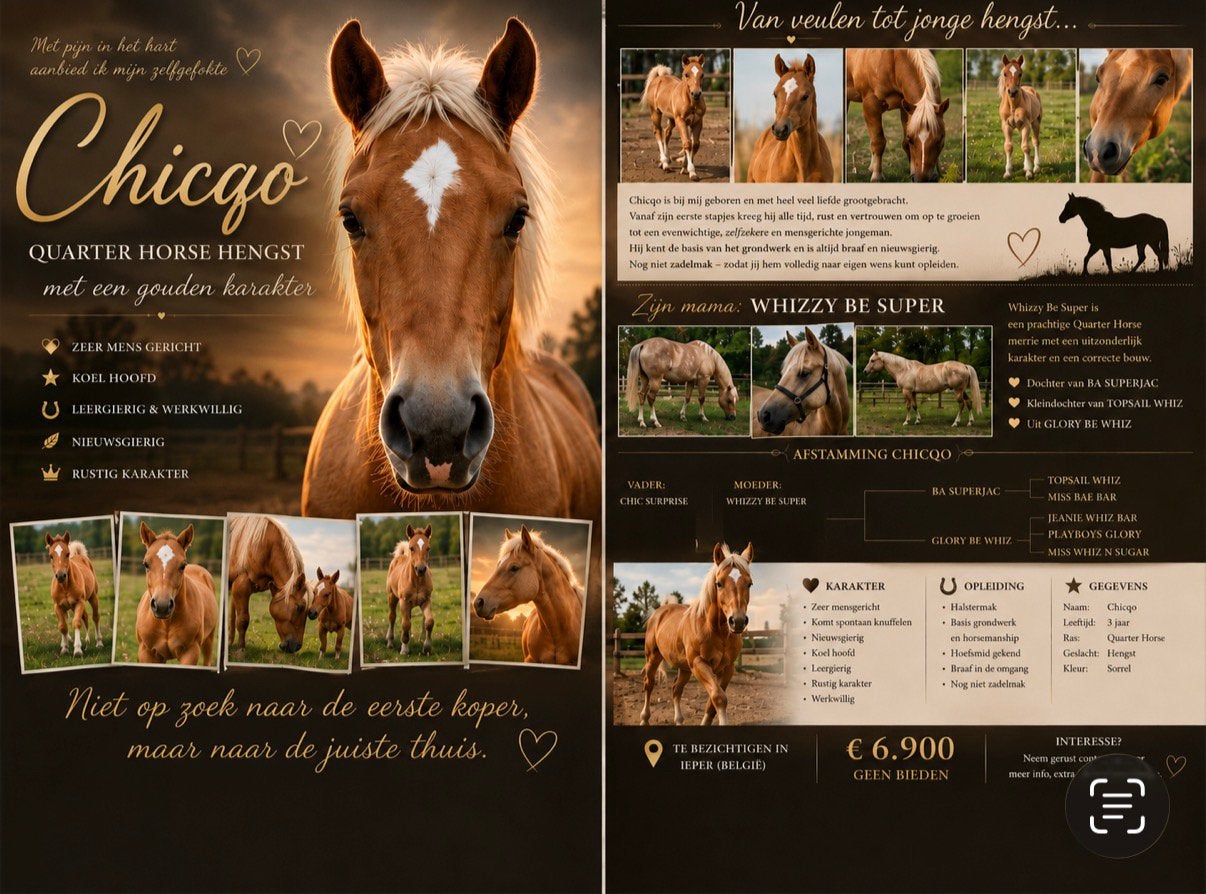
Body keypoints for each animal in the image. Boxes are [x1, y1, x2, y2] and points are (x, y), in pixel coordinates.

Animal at [134, 523, 218, 665]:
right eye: (146, 564)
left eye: (182, 565)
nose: (162, 606)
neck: (166, 623)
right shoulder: (147, 654)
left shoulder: (190, 653)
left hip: (209, 639)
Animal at [226, 515, 309, 657]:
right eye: (299, 607)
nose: (296, 646)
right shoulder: (241, 585)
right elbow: (242, 619)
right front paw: (241, 650)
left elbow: (232, 615)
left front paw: (230, 643)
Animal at [385, 525, 435, 656]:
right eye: (411, 548)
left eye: (428, 548)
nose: (421, 569)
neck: (417, 581)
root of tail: (400, 556)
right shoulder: (404, 602)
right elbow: (405, 624)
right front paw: (404, 649)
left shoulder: (426, 600)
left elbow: (429, 621)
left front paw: (427, 647)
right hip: (392, 597)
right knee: (392, 617)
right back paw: (390, 642)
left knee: (409, 618)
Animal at [640, 542, 752, 726]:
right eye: (719, 583)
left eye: (749, 584)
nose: (738, 621)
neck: (716, 631)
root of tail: (659, 612)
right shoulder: (699, 663)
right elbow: (719, 697)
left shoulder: (728, 668)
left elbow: (712, 703)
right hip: (653, 658)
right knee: (649, 684)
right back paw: (644, 719)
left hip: (685, 668)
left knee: (676, 689)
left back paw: (679, 720)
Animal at [846, 49, 950, 182]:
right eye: (911, 139)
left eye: (940, 138)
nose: (923, 179)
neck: (892, 60)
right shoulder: (871, 105)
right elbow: (878, 141)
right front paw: (877, 176)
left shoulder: (905, 107)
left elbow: (903, 143)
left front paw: (912, 171)